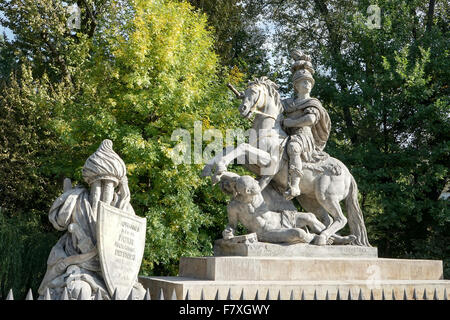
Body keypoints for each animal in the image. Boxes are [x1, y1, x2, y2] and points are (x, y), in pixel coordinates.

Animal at [203, 77, 370, 245]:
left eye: (255, 92)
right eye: (245, 92)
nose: (242, 109)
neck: (268, 132)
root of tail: (349, 174)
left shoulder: (268, 160)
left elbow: (242, 146)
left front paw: (219, 168)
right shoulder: (250, 161)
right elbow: (230, 148)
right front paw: (210, 170)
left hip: (326, 196)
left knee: (341, 219)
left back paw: (322, 238)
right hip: (311, 200)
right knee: (327, 220)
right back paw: (334, 239)